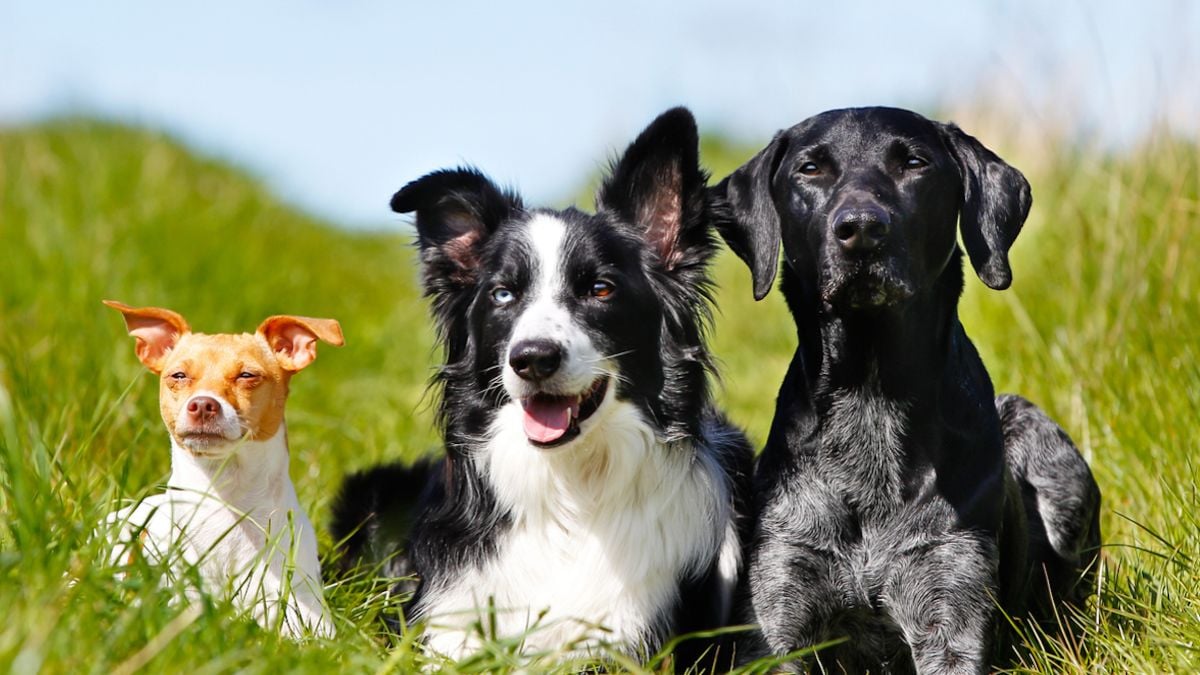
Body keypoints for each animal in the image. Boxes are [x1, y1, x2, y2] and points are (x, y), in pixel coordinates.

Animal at [715, 107, 1099, 667]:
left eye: (914, 163)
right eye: (811, 168)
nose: (861, 228)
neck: (870, 396)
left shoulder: (950, 612)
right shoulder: (779, 614)